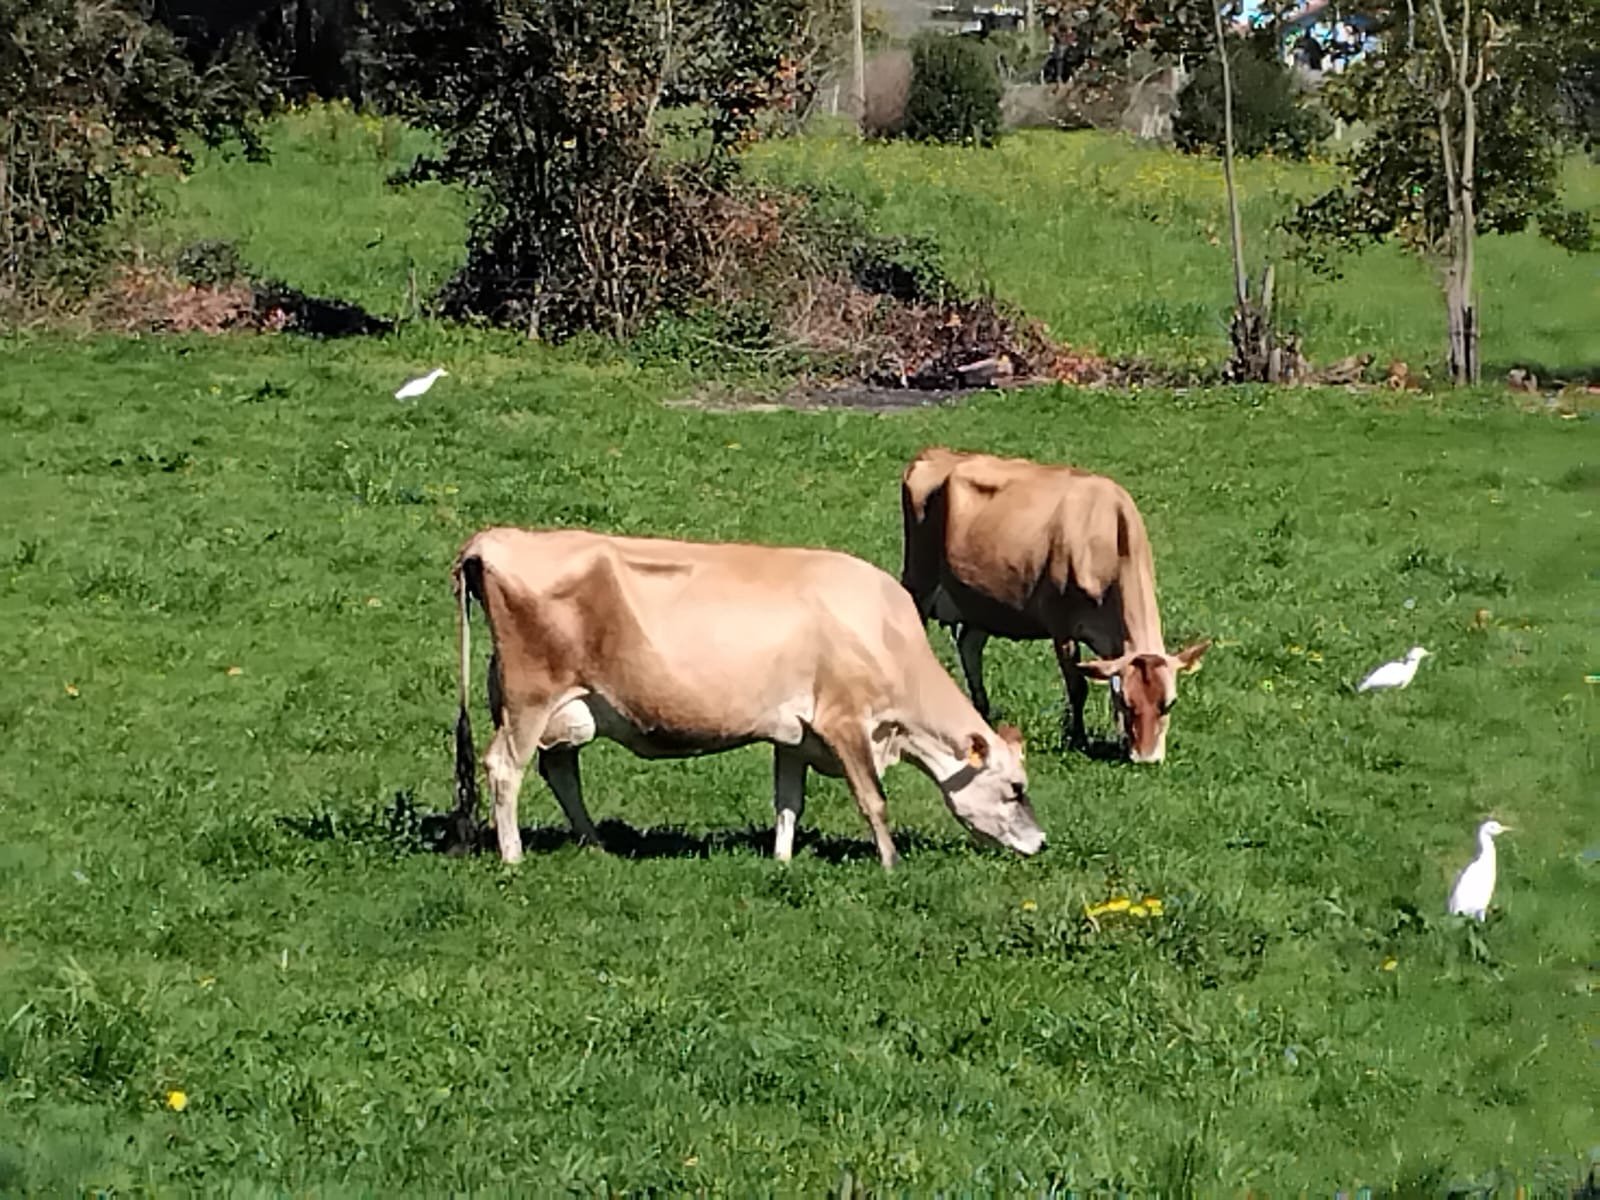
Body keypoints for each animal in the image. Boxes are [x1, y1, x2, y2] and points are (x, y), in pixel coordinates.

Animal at [449, 527, 1046, 871]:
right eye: (1015, 788)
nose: (1041, 843)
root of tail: (491, 539)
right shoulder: (844, 720)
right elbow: (872, 799)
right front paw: (892, 863)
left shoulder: (796, 734)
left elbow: (788, 801)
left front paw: (782, 860)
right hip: (531, 695)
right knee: (505, 767)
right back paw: (513, 856)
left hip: (565, 705)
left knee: (559, 770)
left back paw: (596, 845)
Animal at [900, 448, 1211, 764]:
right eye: (1127, 702)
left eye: (1169, 703)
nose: (1147, 759)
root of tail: (936, 453)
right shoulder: (1062, 627)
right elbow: (1077, 686)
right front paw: (1079, 739)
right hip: (919, 579)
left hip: (981, 602)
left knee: (969, 646)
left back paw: (982, 711)